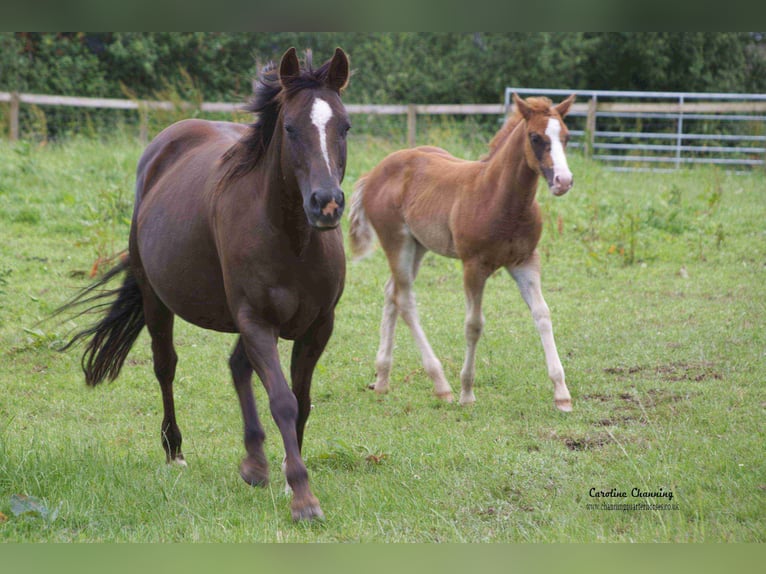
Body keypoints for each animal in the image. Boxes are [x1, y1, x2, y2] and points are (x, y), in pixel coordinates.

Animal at [58, 47, 351, 521]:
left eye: (344, 126)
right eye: (290, 127)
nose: (325, 204)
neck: (291, 239)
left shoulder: (317, 326)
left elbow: (301, 400)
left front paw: (287, 475)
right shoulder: (256, 322)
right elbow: (283, 401)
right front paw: (303, 497)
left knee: (236, 367)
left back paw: (254, 462)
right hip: (157, 300)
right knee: (166, 366)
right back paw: (175, 451)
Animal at [349, 93, 575, 412]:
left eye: (566, 137)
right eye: (535, 137)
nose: (563, 181)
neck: (500, 198)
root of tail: (373, 173)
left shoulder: (525, 261)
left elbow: (542, 314)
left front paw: (561, 393)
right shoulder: (473, 266)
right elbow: (474, 325)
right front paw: (466, 392)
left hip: (418, 246)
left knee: (391, 292)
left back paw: (382, 379)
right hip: (396, 241)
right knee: (405, 299)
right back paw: (440, 384)